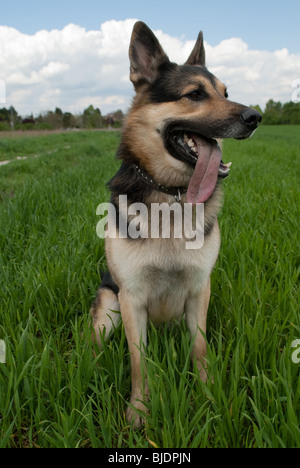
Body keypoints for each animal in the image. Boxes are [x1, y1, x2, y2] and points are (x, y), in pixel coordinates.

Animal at [90, 22, 262, 426]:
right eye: (195, 94)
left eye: (226, 93)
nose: (255, 117)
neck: (173, 194)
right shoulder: (132, 298)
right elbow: (138, 360)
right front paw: (139, 409)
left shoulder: (200, 290)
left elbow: (199, 348)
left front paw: (208, 395)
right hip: (109, 309)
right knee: (97, 347)